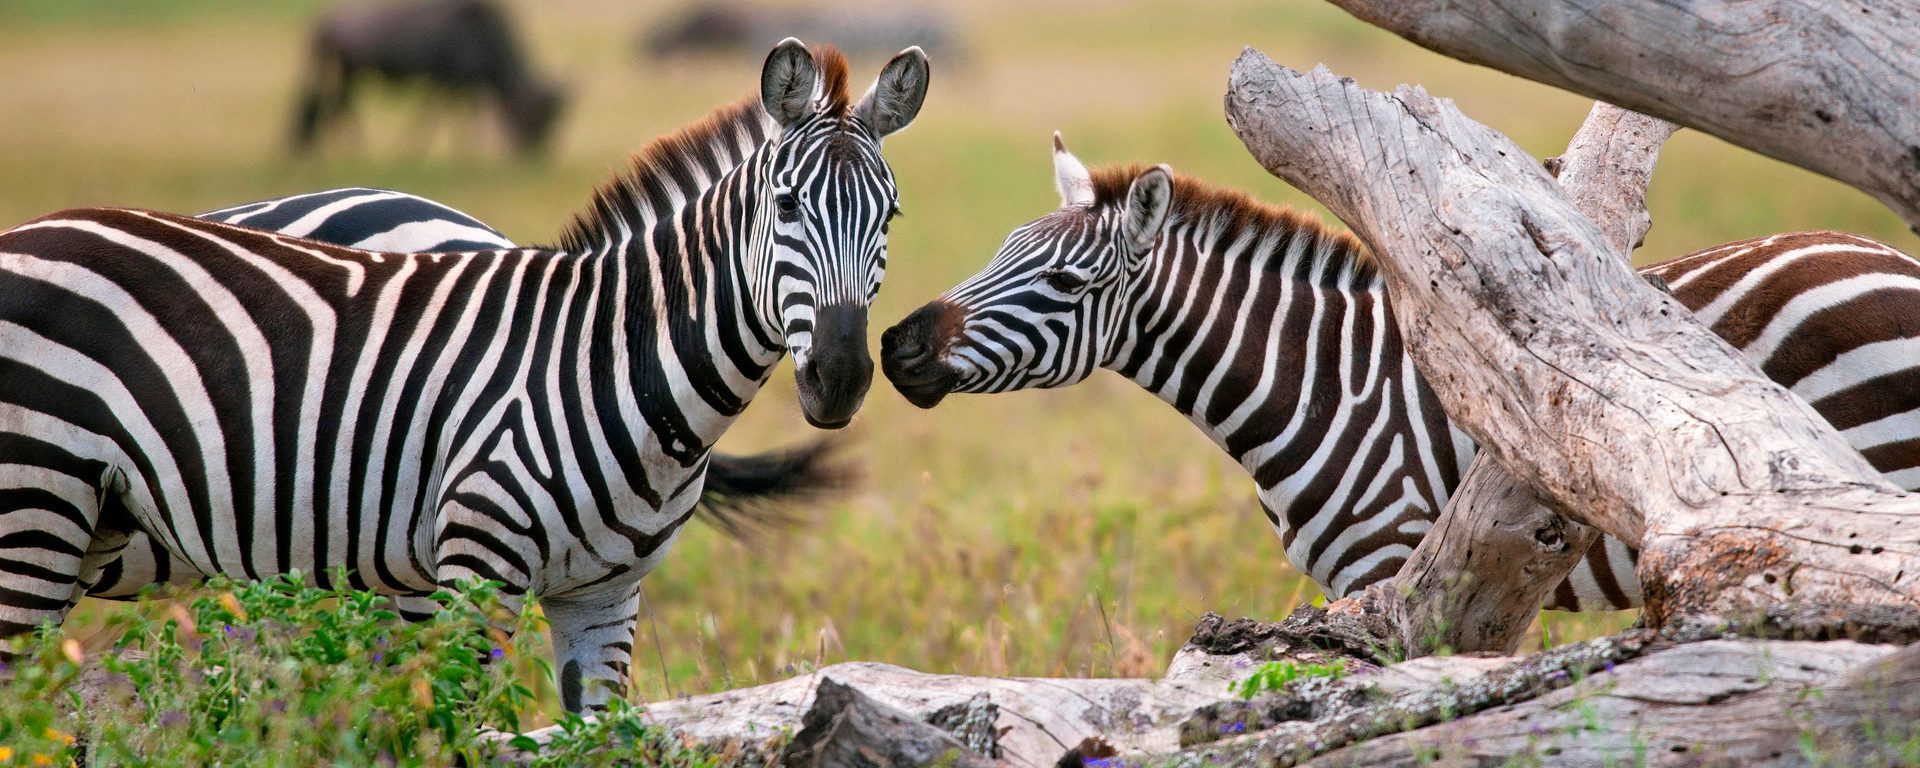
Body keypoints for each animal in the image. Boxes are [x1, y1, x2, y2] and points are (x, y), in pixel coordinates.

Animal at [0, 40, 929, 714]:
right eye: (788, 208)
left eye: (891, 216)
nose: (842, 378)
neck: (610, 361)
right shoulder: (477, 567)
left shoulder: (605, 598)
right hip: (34, 508)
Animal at [879, 132, 1920, 610]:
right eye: (999, 250)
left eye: (1060, 281)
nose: (896, 347)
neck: (1321, 383)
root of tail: (1886, 255)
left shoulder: (1390, 559)